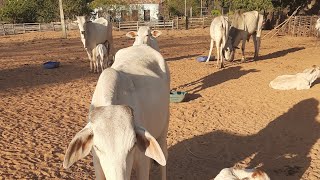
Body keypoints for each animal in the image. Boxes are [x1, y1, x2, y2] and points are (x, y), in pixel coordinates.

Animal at [62, 44, 170, 180]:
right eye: (97, 147)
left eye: (133, 145)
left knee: (164, 160)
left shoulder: (142, 163)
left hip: (164, 130)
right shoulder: (97, 164)